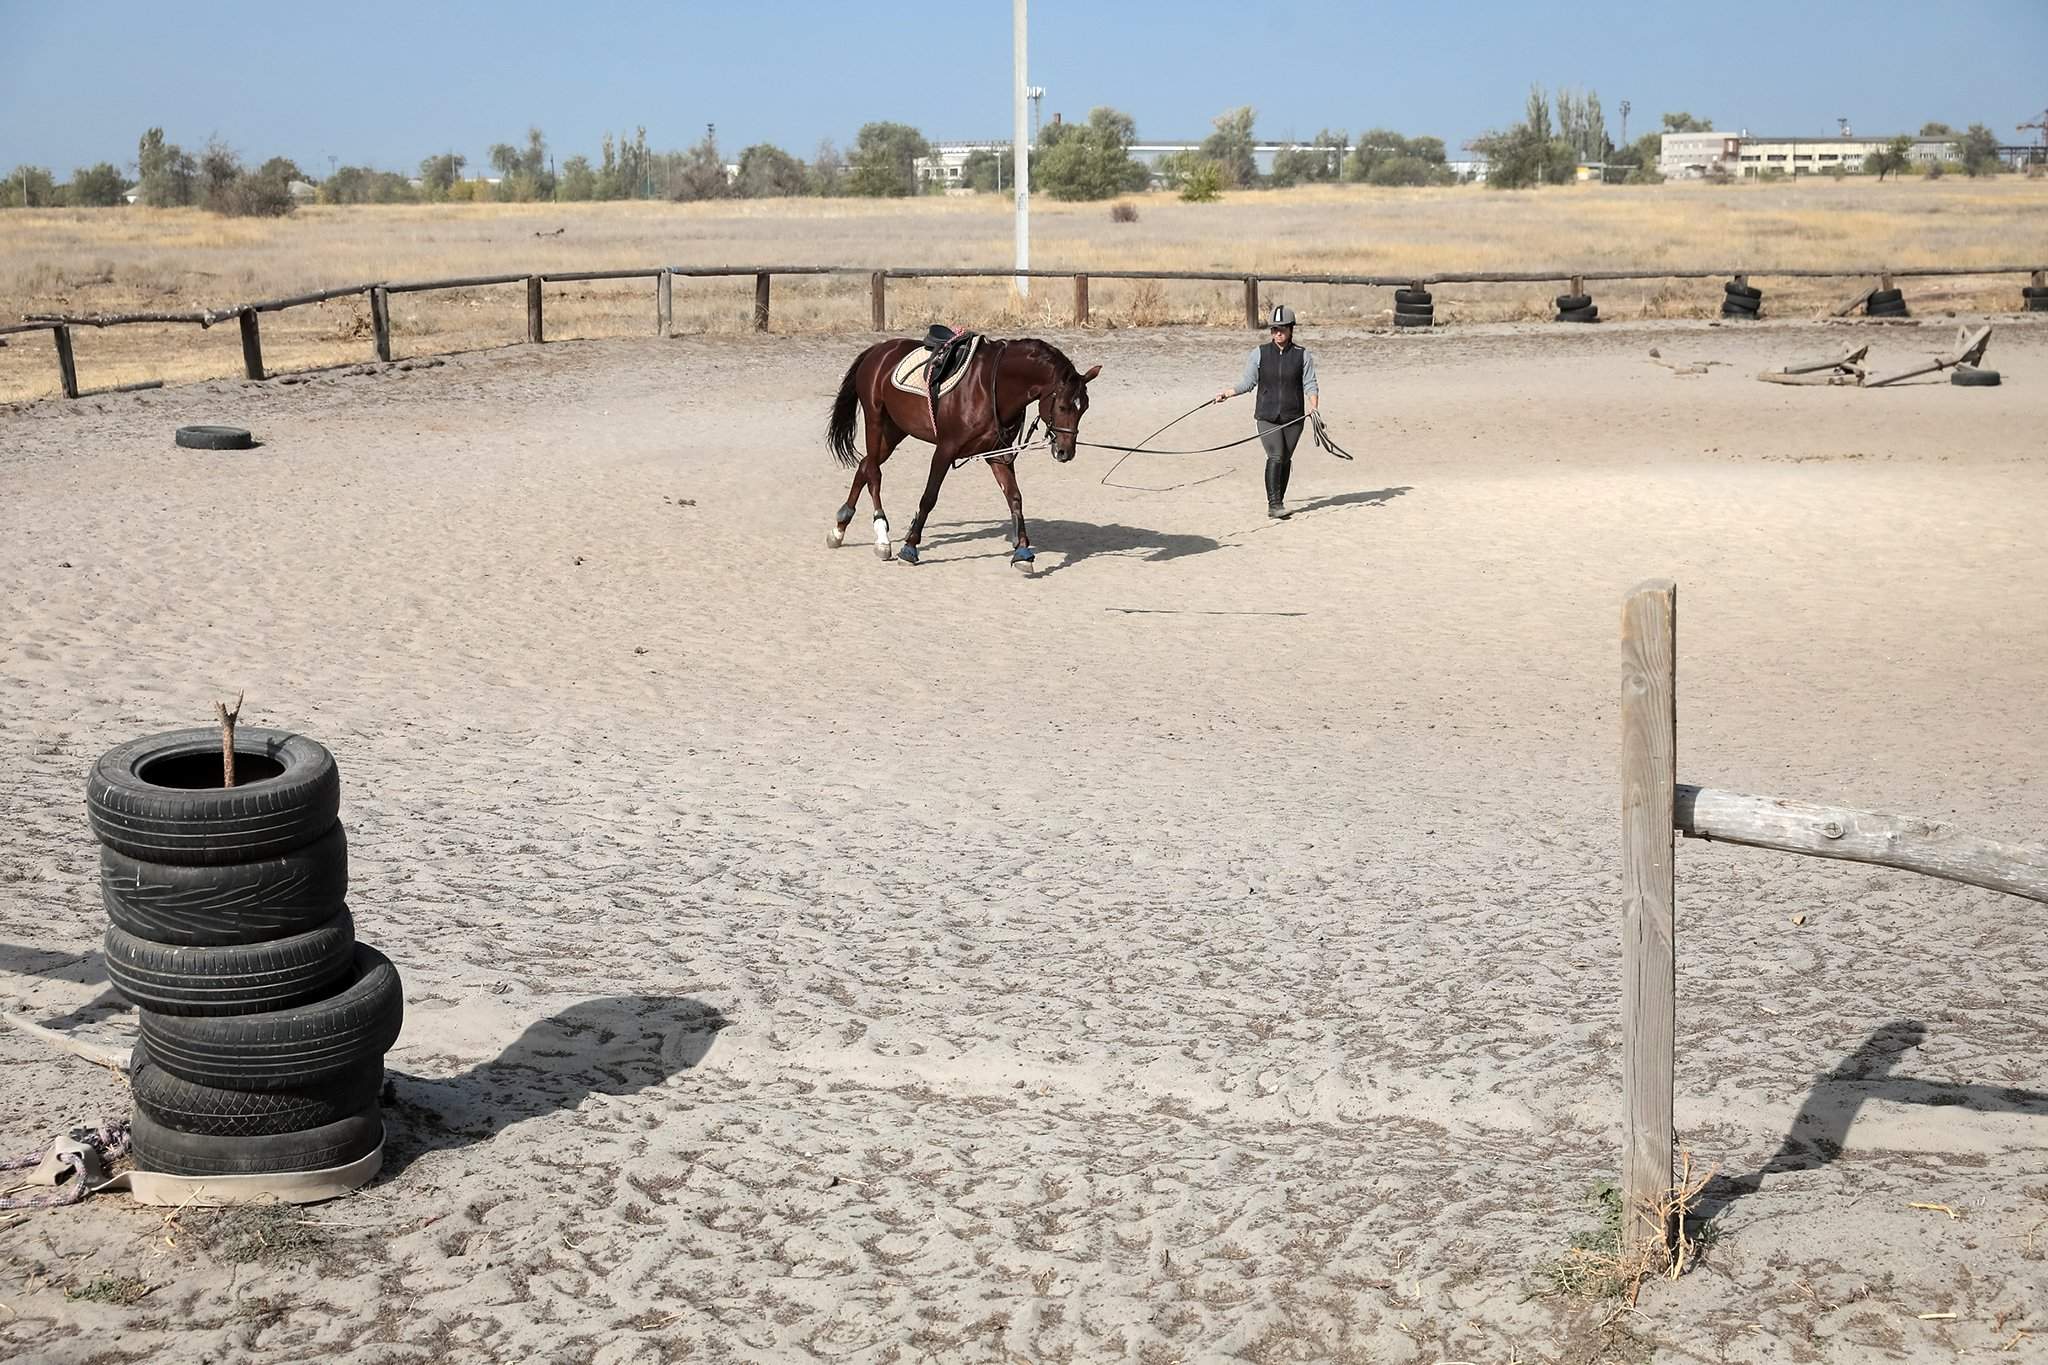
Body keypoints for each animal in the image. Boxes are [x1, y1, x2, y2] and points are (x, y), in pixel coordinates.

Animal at [823, 339, 1097, 568]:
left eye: (1084, 408)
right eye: (1062, 406)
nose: (1065, 451)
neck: (993, 386)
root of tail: (878, 350)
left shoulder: (998, 454)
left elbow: (1014, 497)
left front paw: (1022, 552)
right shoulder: (945, 449)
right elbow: (929, 498)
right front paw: (909, 548)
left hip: (894, 430)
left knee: (864, 466)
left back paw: (839, 529)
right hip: (875, 421)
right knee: (873, 473)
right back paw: (882, 537)